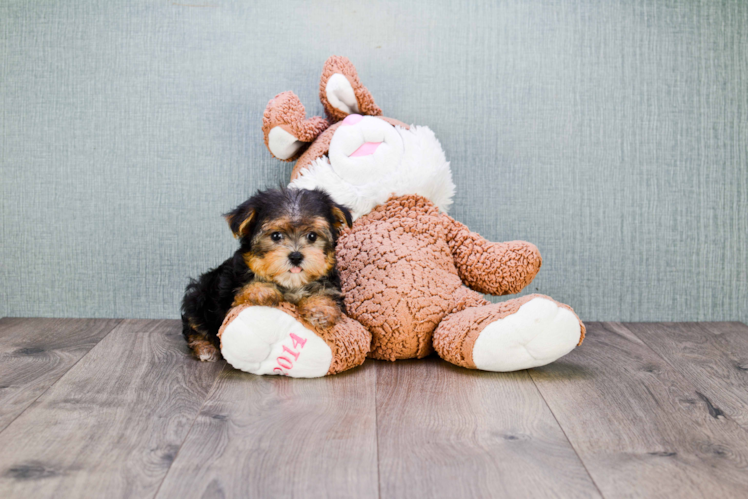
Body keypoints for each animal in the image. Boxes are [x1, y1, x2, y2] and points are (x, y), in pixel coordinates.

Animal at [183, 189, 354, 362]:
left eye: (312, 236)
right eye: (276, 236)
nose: (296, 256)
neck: (290, 283)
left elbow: (325, 292)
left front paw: (320, 309)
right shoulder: (229, 296)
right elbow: (242, 292)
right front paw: (261, 291)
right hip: (200, 298)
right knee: (195, 326)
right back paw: (205, 349)